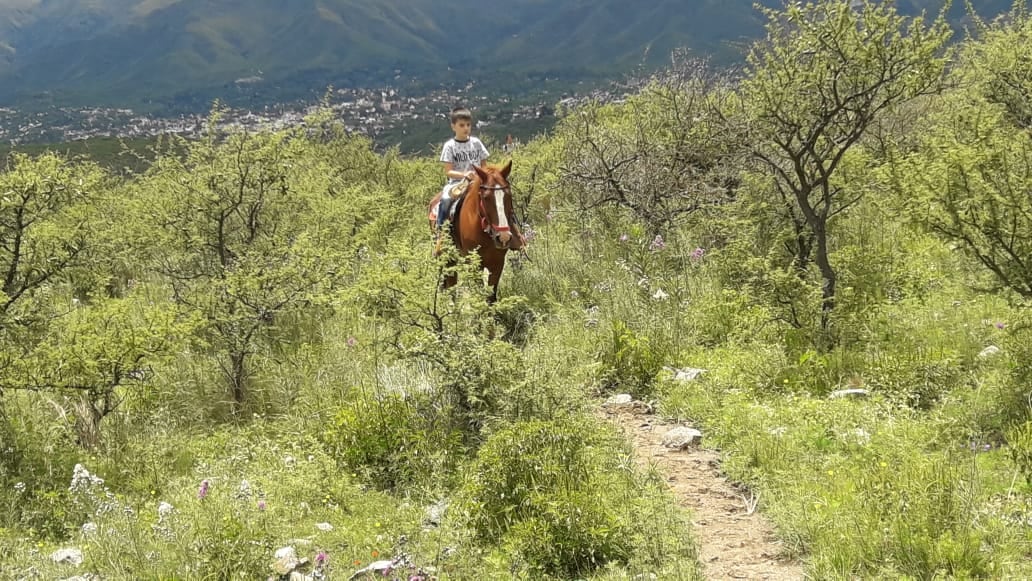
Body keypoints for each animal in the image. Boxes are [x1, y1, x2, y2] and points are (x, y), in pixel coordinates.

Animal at [429, 159, 524, 303]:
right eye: (485, 197)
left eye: (508, 195)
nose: (503, 237)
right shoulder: (475, 264)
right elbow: (481, 295)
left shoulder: (497, 263)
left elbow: (491, 297)